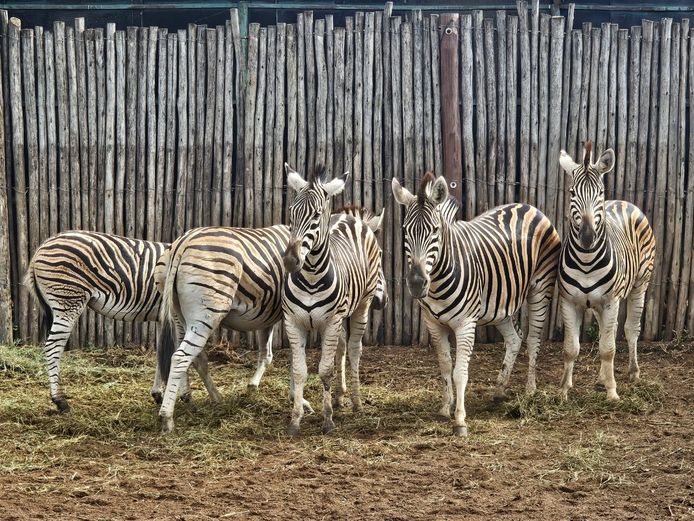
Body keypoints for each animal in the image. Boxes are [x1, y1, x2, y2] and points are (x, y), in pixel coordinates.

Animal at [23, 231, 217, 413]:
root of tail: (41, 248)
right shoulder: (178, 315)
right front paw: (186, 395)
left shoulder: (163, 318)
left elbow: (162, 353)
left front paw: (158, 394)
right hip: (68, 300)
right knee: (53, 347)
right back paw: (60, 400)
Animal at [282, 164, 386, 436]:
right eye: (291, 213)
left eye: (317, 215)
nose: (290, 261)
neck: (310, 277)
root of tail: (350, 218)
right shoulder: (293, 323)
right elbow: (300, 371)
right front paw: (295, 420)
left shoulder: (331, 321)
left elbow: (325, 370)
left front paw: (327, 420)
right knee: (341, 348)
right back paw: (340, 397)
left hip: (361, 307)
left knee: (354, 349)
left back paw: (356, 402)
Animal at [392, 172, 561, 436]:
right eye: (405, 231)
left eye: (435, 231)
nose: (417, 283)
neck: (437, 282)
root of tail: (528, 206)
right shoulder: (433, 324)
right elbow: (445, 366)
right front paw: (445, 408)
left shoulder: (465, 324)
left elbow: (460, 372)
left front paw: (460, 420)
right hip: (500, 302)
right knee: (515, 339)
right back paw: (499, 392)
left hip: (541, 288)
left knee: (533, 339)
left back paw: (530, 391)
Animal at [558, 142, 655, 401]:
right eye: (572, 193)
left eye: (600, 193)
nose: (587, 237)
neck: (586, 261)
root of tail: (622, 201)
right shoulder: (569, 302)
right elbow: (571, 349)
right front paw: (563, 391)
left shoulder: (612, 301)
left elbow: (608, 349)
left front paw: (612, 393)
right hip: (600, 303)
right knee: (604, 330)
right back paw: (602, 379)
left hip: (640, 283)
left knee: (631, 329)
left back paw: (633, 373)